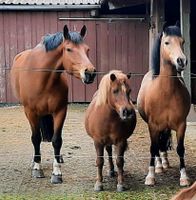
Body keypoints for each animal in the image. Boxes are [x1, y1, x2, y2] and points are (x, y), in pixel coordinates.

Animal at [10, 24, 96, 184]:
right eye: (69, 49)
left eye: (87, 49)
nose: (90, 73)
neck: (42, 78)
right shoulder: (31, 112)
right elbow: (36, 138)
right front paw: (37, 168)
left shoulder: (60, 111)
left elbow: (57, 140)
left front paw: (56, 173)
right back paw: (34, 161)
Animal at [137, 22, 191, 187]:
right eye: (167, 42)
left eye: (182, 42)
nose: (181, 61)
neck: (166, 92)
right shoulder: (153, 125)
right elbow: (153, 148)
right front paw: (150, 176)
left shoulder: (181, 125)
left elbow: (180, 149)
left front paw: (184, 177)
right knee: (157, 146)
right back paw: (159, 166)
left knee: (163, 142)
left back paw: (165, 163)